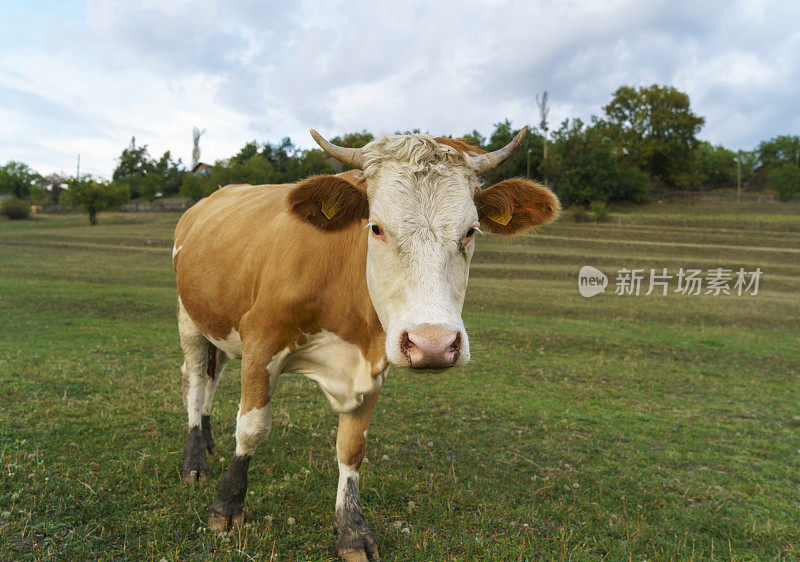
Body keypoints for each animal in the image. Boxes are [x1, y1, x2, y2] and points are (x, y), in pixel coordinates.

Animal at [172, 124, 560, 556]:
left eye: (471, 231)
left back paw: (207, 439)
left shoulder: (375, 362)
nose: (433, 344)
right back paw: (195, 460)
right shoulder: (261, 340)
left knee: (213, 376)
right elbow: (252, 428)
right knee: (195, 380)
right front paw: (226, 505)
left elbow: (352, 447)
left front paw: (351, 529)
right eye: (376, 227)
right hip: (189, 317)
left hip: (219, 326)